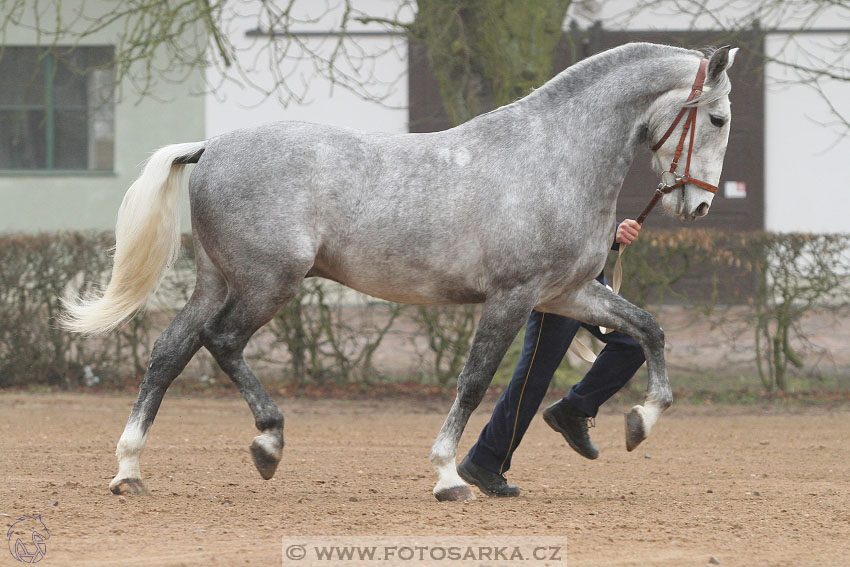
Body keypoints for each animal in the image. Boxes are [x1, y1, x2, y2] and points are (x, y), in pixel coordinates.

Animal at [63, 42, 732, 502]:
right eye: (719, 118)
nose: (698, 206)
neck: (554, 157)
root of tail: (210, 149)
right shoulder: (512, 299)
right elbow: (474, 380)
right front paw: (448, 477)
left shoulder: (566, 294)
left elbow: (648, 330)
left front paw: (640, 422)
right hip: (267, 282)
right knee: (220, 341)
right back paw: (268, 441)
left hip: (218, 281)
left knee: (169, 351)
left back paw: (129, 470)